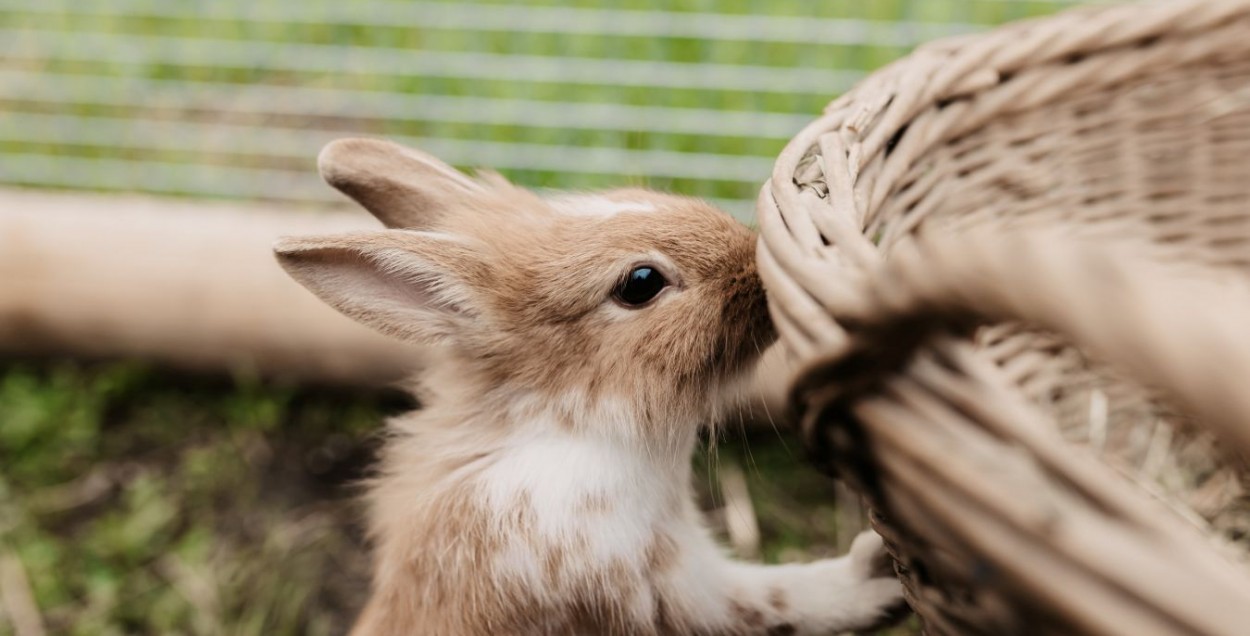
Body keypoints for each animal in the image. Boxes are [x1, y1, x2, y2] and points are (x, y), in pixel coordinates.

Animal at [273, 138, 905, 635]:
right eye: (641, 283)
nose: (755, 264)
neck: (578, 423)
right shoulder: (665, 585)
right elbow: (773, 602)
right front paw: (877, 579)